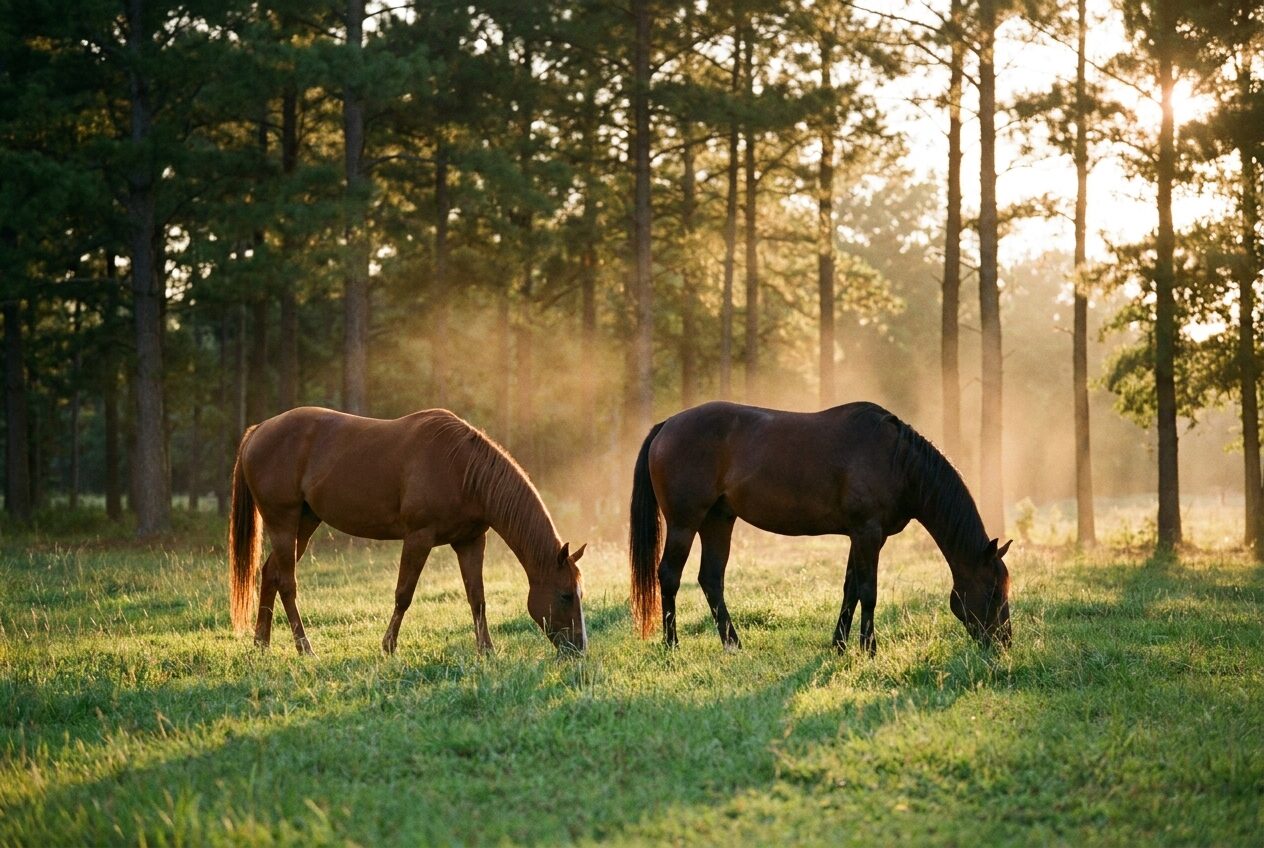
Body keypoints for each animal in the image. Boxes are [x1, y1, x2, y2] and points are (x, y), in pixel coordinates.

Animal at [228, 406, 587, 656]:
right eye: (566, 595)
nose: (579, 648)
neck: (463, 470)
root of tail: (258, 430)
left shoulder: (470, 541)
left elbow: (477, 597)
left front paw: (486, 651)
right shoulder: (418, 538)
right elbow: (404, 594)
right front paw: (388, 646)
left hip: (304, 524)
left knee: (271, 573)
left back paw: (262, 643)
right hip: (283, 522)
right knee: (287, 583)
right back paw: (305, 648)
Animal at [628, 401, 1011, 655]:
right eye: (994, 591)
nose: (1004, 643)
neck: (896, 462)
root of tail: (667, 424)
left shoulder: (861, 537)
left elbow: (850, 589)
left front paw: (840, 645)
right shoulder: (868, 534)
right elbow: (869, 592)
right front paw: (869, 648)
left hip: (718, 521)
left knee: (711, 579)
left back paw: (733, 644)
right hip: (685, 522)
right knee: (670, 576)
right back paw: (672, 645)